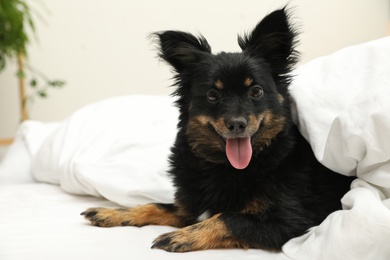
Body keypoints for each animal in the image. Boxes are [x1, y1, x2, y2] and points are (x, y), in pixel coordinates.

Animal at [81, 7, 354, 252]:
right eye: (213, 95)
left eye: (256, 91)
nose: (237, 124)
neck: (223, 166)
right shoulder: (191, 206)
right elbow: (157, 205)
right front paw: (113, 213)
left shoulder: (291, 220)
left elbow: (227, 218)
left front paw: (180, 236)